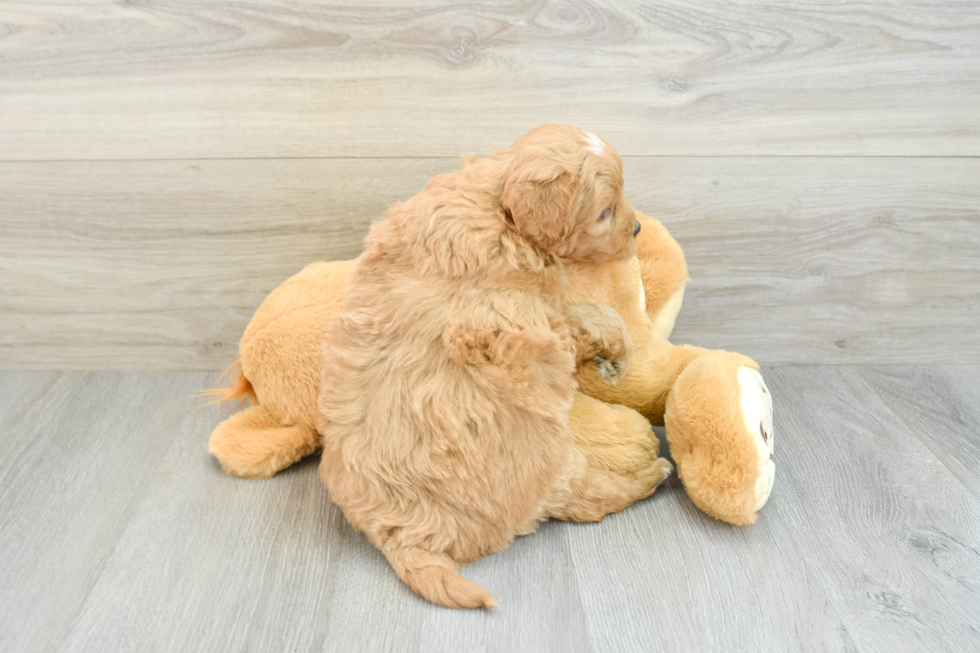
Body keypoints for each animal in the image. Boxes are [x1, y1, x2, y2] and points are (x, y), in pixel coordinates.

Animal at [322, 125, 672, 608]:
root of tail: (400, 535)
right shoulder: (523, 324)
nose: (637, 228)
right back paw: (653, 475)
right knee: (588, 501)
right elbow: (589, 315)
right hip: (546, 463)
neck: (497, 209)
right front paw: (616, 349)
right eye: (604, 212)